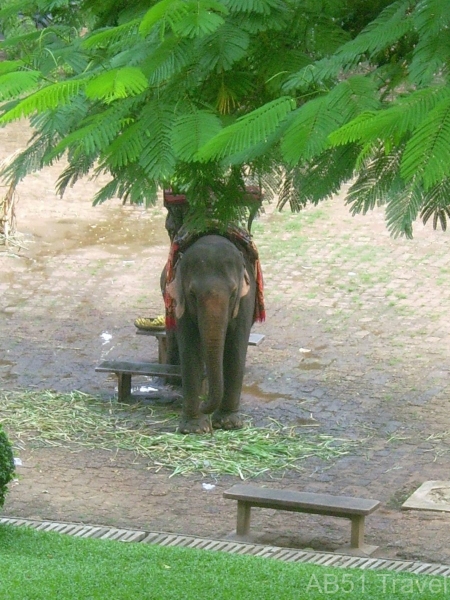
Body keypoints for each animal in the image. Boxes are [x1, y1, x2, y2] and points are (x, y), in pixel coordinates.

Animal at [162, 232, 260, 434]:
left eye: (233, 293)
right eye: (192, 294)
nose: (203, 405)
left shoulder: (246, 299)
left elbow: (236, 349)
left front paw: (227, 424)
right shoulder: (181, 302)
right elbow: (190, 349)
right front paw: (194, 428)